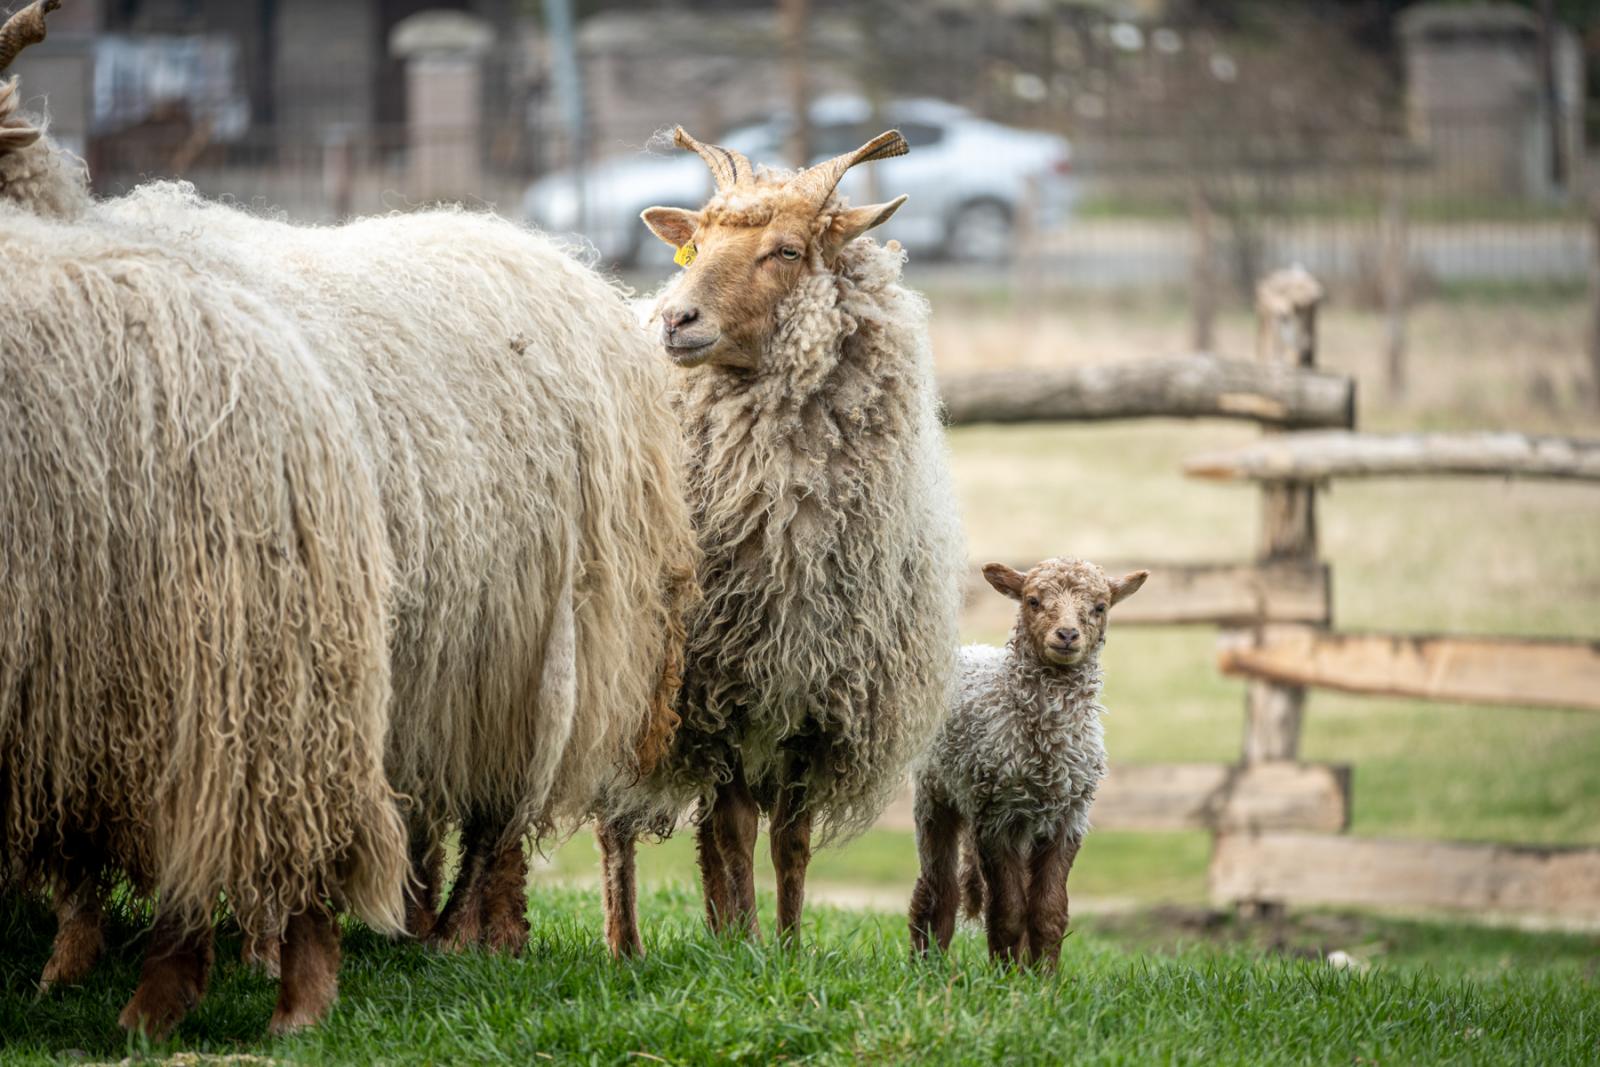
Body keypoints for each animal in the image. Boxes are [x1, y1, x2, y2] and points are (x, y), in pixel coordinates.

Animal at [597, 127, 966, 955]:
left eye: (789, 250)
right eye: (696, 243)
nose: (677, 320)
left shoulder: (814, 706)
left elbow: (788, 843)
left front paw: (786, 949)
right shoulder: (722, 696)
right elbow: (736, 831)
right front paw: (747, 950)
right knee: (617, 831)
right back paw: (626, 946)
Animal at [909, 558, 1147, 967]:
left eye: (1100, 607)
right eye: (1033, 600)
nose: (1066, 634)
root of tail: (971, 650)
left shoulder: (1069, 816)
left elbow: (1048, 911)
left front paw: (1043, 977)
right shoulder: (993, 814)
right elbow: (1007, 912)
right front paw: (1004, 976)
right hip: (935, 792)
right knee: (937, 891)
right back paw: (927, 967)